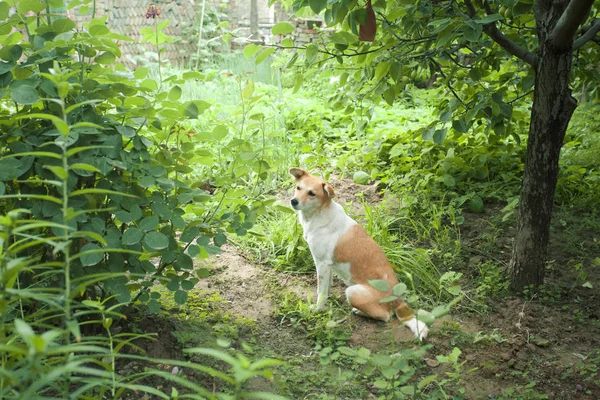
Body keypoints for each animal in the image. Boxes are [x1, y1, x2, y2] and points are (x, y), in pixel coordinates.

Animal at [290, 167, 426, 340]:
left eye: (312, 193)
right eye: (298, 188)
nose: (293, 201)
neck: (319, 214)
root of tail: (397, 298)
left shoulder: (321, 263)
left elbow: (321, 291)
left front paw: (317, 308)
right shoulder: (328, 266)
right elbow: (327, 287)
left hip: (352, 292)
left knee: (386, 316)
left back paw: (359, 311)